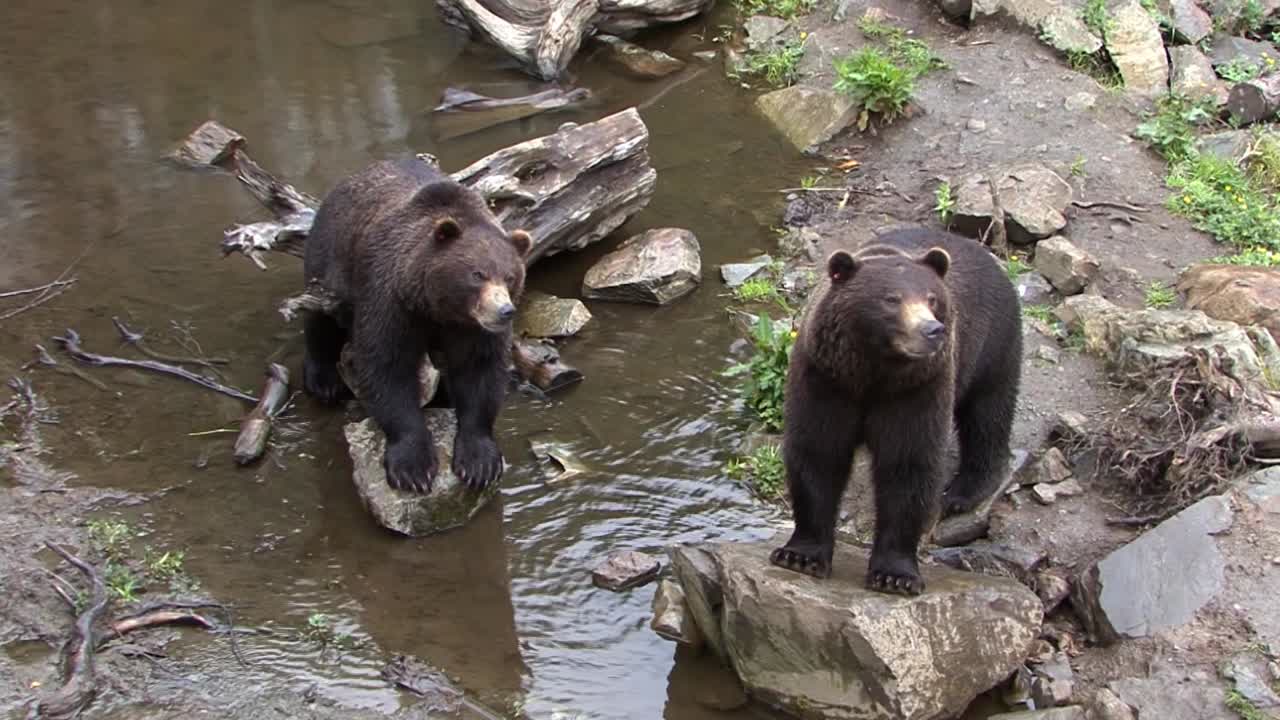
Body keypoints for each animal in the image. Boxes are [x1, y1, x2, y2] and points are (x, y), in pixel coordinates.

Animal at [301, 156, 532, 494]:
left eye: (511, 276)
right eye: (477, 274)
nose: (504, 311)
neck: (437, 308)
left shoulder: (473, 331)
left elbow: (480, 372)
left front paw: (479, 462)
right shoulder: (390, 301)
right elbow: (387, 365)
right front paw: (413, 467)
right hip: (330, 261)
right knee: (319, 318)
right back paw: (323, 380)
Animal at [769, 226, 1022, 595]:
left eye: (932, 299)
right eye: (891, 299)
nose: (932, 330)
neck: (874, 372)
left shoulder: (916, 389)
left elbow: (907, 465)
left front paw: (895, 575)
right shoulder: (826, 379)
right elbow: (819, 452)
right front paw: (799, 555)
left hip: (991, 344)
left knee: (987, 413)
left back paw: (961, 493)